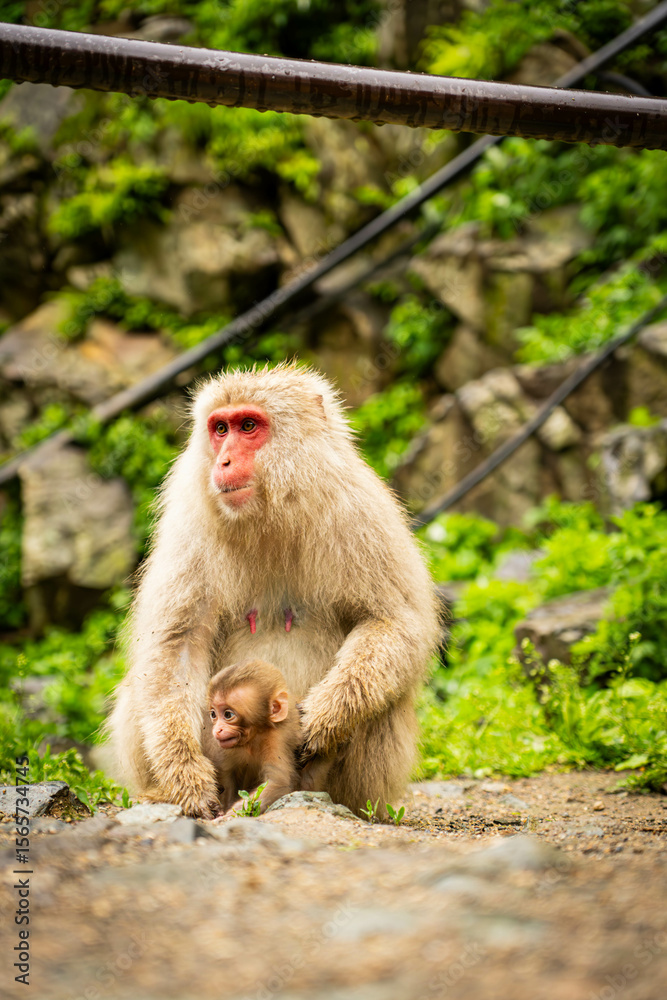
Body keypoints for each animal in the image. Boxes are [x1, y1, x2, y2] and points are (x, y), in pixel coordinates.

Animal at [203, 659, 301, 814]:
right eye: (213, 714)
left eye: (228, 714)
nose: (217, 730)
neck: (253, 739)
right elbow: (226, 774)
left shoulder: (275, 739)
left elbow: (278, 782)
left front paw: (231, 814)